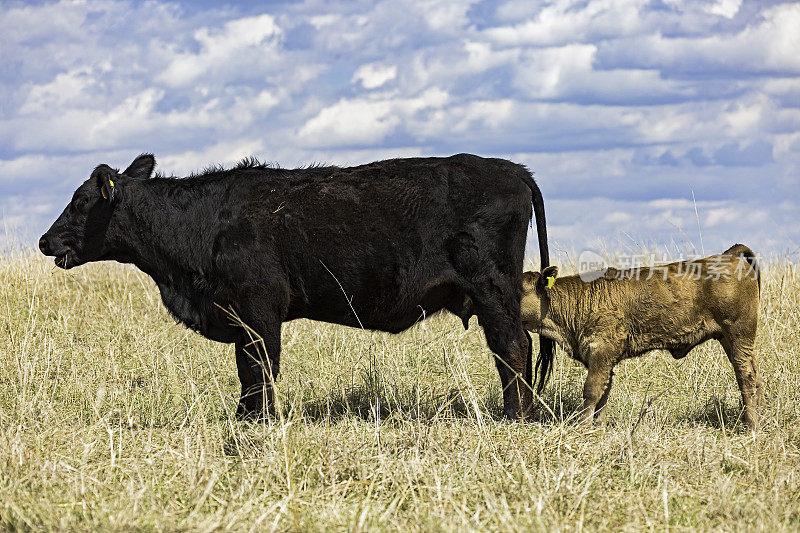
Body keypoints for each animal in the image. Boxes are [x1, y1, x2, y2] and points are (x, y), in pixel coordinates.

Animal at [37, 154, 552, 420]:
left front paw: (256, 423)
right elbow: (249, 372)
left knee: (513, 346)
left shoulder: (259, 311)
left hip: (492, 288)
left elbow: (258, 368)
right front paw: (247, 420)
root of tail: (512, 169)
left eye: (80, 201)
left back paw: (516, 416)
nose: (45, 240)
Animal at [524, 244, 764, 428]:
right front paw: (598, 427)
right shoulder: (605, 359)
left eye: (521, 290)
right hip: (732, 340)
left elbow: (591, 391)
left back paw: (750, 425)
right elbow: (604, 392)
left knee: (745, 376)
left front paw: (582, 427)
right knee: (755, 373)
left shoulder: (601, 352)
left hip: (739, 334)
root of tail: (731, 255)